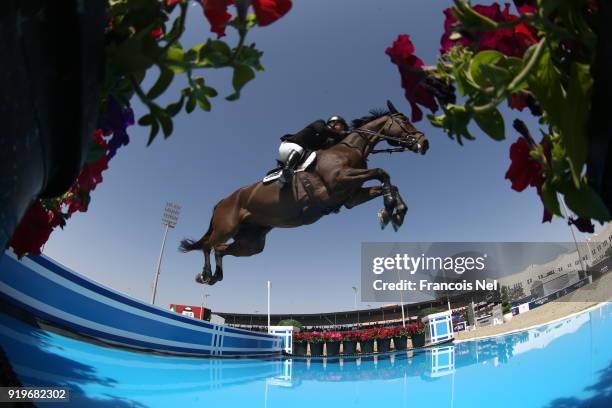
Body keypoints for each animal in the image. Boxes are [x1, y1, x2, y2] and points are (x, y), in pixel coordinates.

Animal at [182, 101, 428, 286]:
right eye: (404, 120)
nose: (424, 143)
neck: (348, 149)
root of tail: (221, 201)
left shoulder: (351, 197)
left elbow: (388, 182)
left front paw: (394, 213)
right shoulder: (339, 179)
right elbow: (382, 172)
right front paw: (390, 208)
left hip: (251, 243)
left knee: (220, 249)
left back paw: (215, 276)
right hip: (226, 227)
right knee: (207, 245)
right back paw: (205, 275)